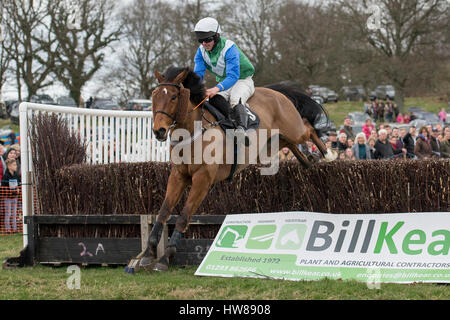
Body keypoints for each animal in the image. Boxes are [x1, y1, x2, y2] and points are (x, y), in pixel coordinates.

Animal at [135, 66, 332, 272]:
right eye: (154, 96)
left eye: (173, 97)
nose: (158, 131)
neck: (191, 133)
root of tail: (277, 93)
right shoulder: (178, 176)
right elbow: (164, 211)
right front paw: (148, 253)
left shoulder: (202, 179)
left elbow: (183, 216)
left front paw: (165, 258)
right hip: (270, 145)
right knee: (290, 143)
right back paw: (309, 160)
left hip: (294, 129)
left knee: (309, 128)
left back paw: (327, 154)